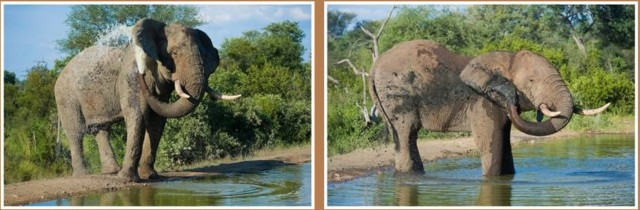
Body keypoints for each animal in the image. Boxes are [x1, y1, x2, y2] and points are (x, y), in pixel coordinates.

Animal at [53, 18, 240, 182]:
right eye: (174, 54)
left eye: (205, 57)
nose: (142, 73)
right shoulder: (131, 77)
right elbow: (138, 115)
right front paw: (127, 180)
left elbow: (157, 120)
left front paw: (151, 177)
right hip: (65, 96)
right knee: (76, 132)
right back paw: (83, 175)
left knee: (101, 129)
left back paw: (111, 171)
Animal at [368, 39, 608, 176]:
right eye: (531, 81)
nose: (511, 96)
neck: (506, 58)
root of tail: (374, 67)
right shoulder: (482, 101)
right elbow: (491, 141)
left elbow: (504, 140)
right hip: (398, 94)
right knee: (406, 132)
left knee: (405, 136)